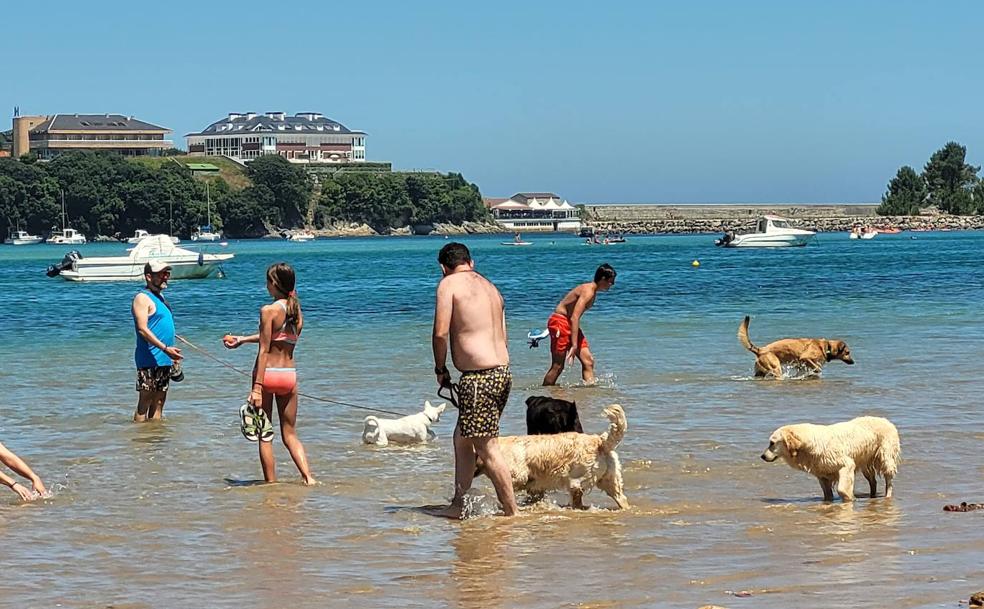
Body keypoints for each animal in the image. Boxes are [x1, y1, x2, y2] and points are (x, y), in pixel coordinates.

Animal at [760, 416, 900, 502]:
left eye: (772, 443)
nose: (762, 456)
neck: (807, 446)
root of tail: (886, 420)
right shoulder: (822, 474)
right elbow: (827, 493)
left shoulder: (846, 464)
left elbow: (842, 489)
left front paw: (851, 498)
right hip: (865, 461)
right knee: (873, 481)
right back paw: (872, 496)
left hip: (885, 456)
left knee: (888, 479)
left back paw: (887, 496)